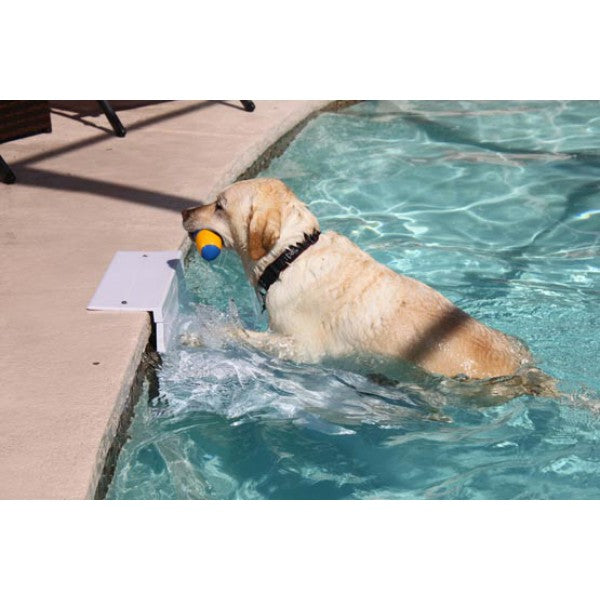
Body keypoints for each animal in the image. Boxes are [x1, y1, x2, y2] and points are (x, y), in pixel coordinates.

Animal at [180, 176, 548, 386]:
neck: (292, 253)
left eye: (220, 206)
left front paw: (200, 337)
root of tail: (526, 371)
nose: (183, 212)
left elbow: (243, 337)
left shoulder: (299, 347)